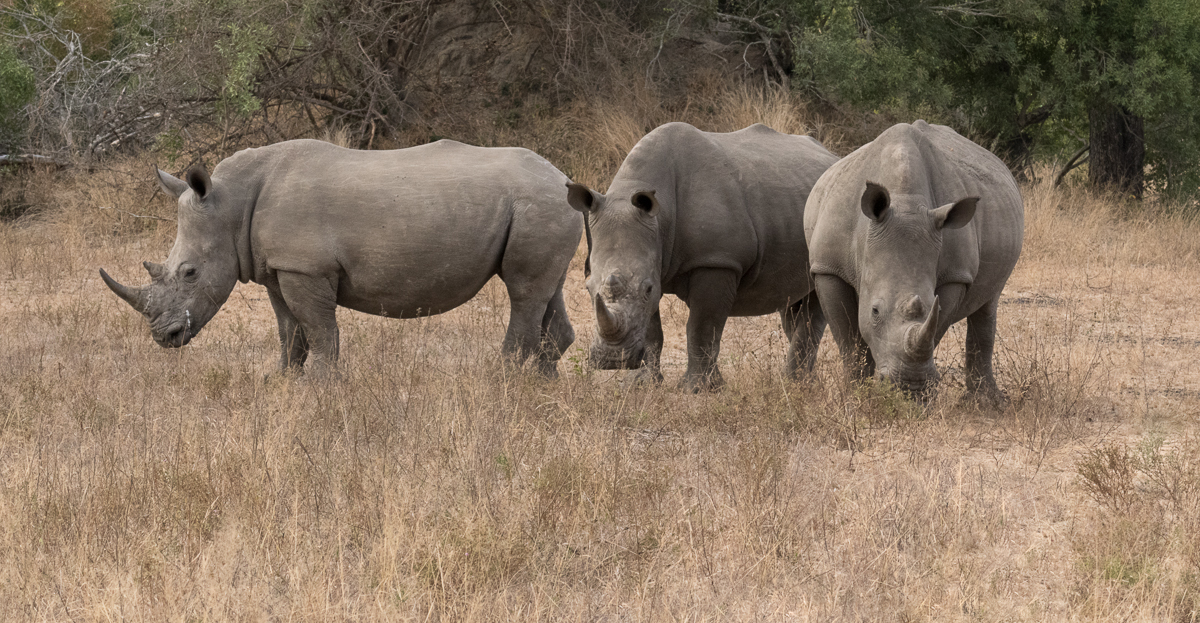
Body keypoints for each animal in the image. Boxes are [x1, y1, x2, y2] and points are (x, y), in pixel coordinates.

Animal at [100, 138, 582, 376]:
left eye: (190, 272)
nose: (163, 337)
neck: (230, 204)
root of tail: (564, 177)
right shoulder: (279, 267)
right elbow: (290, 332)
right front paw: (283, 381)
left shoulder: (306, 267)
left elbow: (319, 330)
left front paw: (323, 387)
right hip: (547, 209)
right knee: (545, 290)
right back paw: (540, 387)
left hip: (537, 204)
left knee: (523, 292)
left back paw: (500, 383)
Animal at [566, 122, 839, 391]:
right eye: (588, 288)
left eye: (647, 288)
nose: (613, 360)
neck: (661, 217)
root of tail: (833, 156)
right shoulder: (655, 260)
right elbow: (653, 330)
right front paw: (643, 385)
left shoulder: (717, 260)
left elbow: (701, 326)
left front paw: (698, 389)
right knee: (792, 306)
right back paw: (808, 385)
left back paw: (795, 385)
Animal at [803, 120, 1024, 400]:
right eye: (875, 311)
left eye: (934, 308)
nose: (910, 387)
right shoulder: (828, 268)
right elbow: (849, 341)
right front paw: (856, 395)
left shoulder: (956, 275)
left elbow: (935, 327)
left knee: (989, 302)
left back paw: (988, 402)